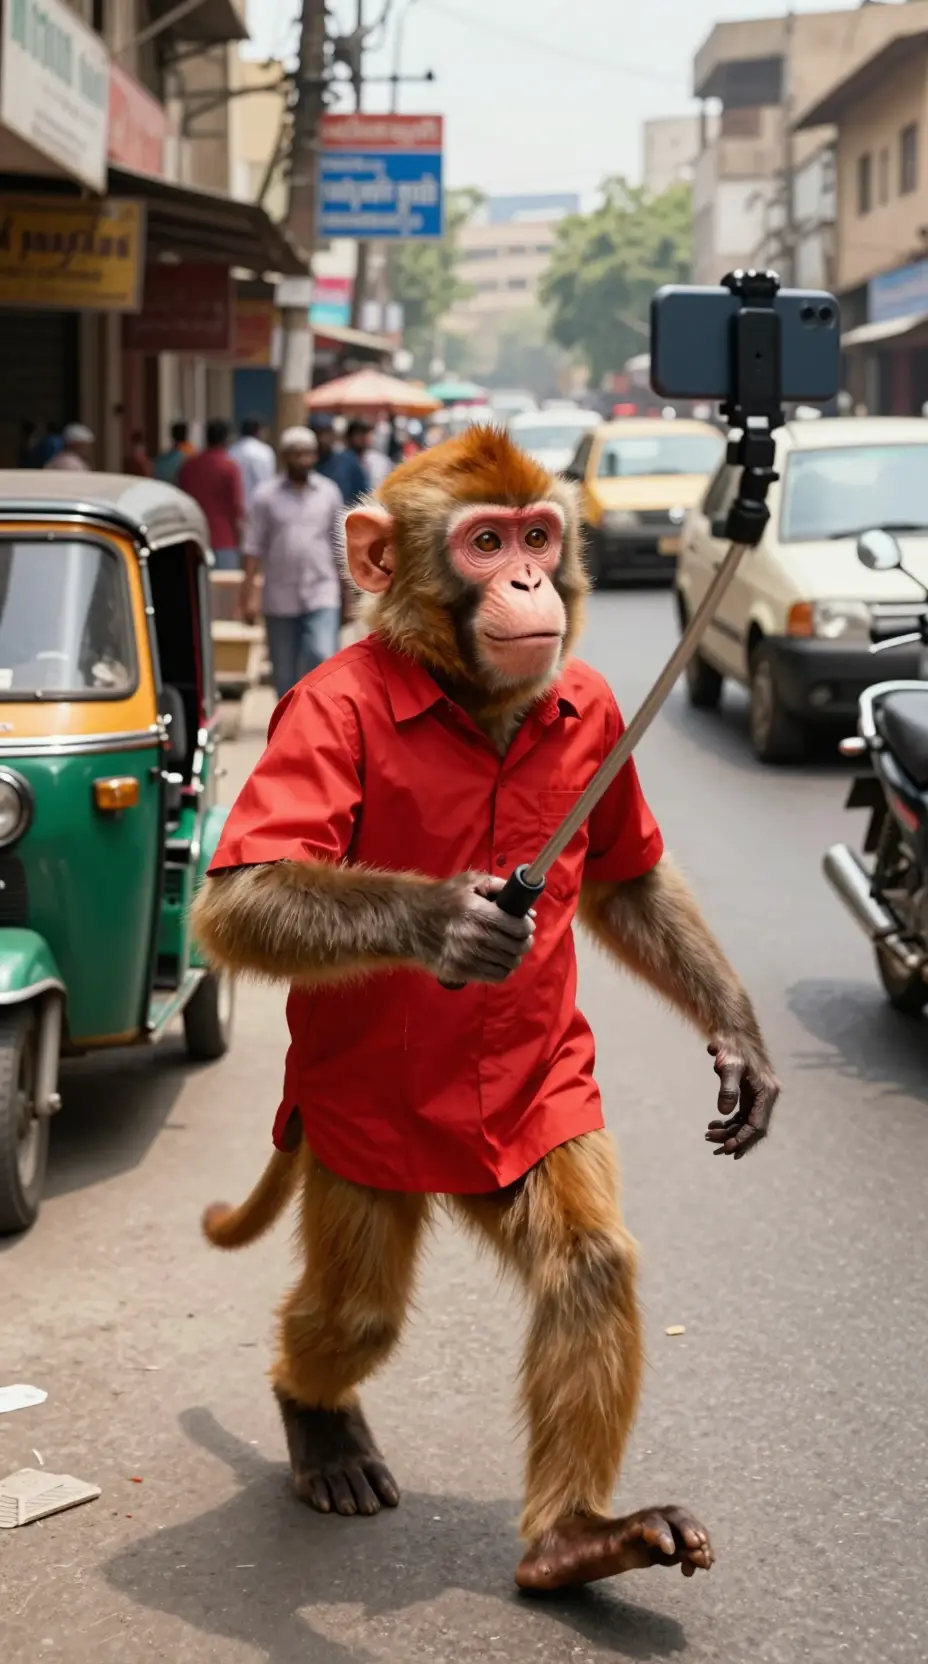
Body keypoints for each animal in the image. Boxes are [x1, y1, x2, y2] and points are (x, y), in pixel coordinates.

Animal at [193, 425, 779, 1594]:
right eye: (484, 542)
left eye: (538, 536)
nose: (525, 582)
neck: (471, 699)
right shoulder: (317, 709)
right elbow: (240, 899)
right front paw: (454, 922)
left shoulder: (594, 707)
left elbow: (625, 881)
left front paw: (739, 1043)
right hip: (352, 1159)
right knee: (353, 1313)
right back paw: (315, 1418)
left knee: (583, 1262)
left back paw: (573, 1540)